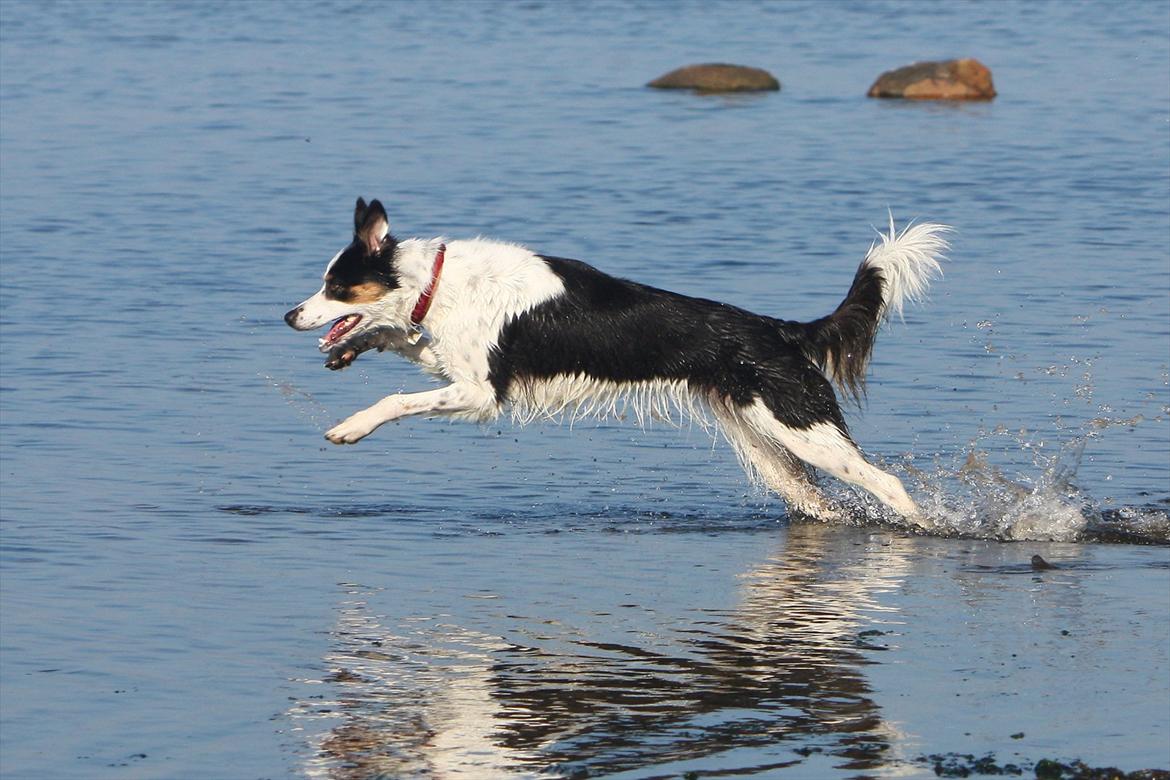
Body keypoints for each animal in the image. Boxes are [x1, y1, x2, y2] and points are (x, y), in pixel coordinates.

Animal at [285, 201, 950, 528]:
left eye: (336, 288)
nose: (290, 315)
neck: (439, 280)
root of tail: (780, 330)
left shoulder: (481, 393)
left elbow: (396, 398)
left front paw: (350, 427)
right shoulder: (458, 366)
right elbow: (403, 339)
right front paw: (353, 349)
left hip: (804, 430)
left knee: (888, 484)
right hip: (769, 451)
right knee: (822, 507)